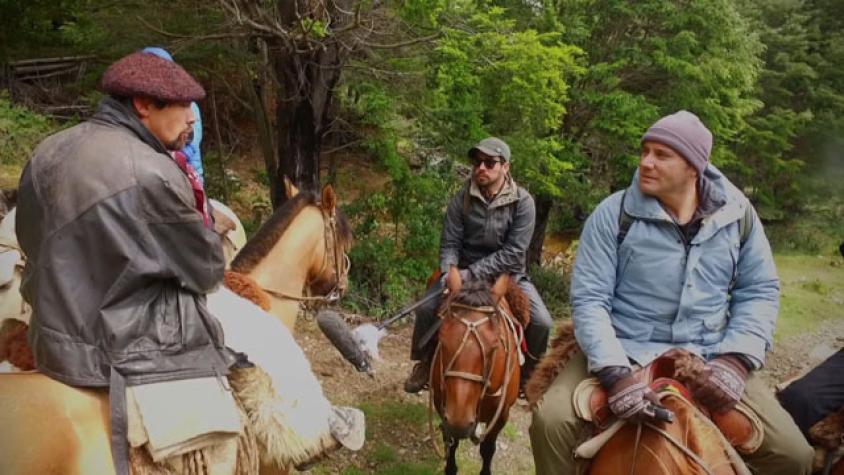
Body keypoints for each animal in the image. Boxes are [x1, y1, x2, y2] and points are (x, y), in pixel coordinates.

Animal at [432, 270, 524, 475]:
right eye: (441, 337)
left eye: (495, 345)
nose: (459, 422)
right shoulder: (443, 407)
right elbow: (451, 443)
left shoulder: (502, 415)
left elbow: (488, 448)